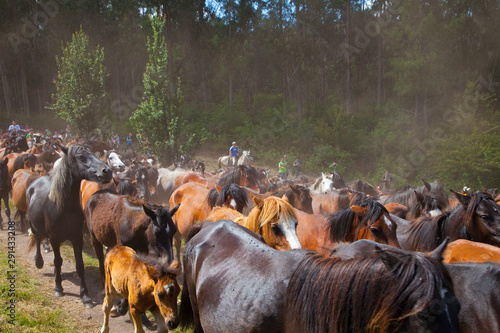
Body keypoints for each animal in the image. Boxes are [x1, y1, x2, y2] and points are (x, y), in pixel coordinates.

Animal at [26, 145, 112, 306]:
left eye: (93, 153)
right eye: (80, 157)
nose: (107, 171)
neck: (63, 207)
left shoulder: (77, 238)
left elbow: (79, 265)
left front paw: (85, 295)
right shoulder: (54, 239)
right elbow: (57, 261)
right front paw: (58, 288)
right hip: (34, 226)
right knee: (37, 238)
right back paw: (39, 261)